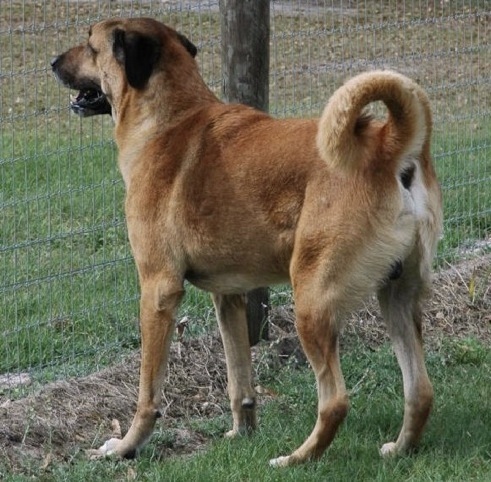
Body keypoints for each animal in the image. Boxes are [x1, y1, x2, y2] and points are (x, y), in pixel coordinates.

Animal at [52, 17, 444, 466]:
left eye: (90, 45)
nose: (52, 63)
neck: (169, 119)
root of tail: (388, 144)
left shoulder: (158, 291)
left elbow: (148, 392)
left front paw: (126, 447)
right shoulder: (229, 296)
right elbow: (240, 380)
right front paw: (241, 433)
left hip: (312, 301)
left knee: (335, 401)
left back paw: (296, 458)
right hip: (396, 297)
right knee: (420, 390)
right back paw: (400, 449)